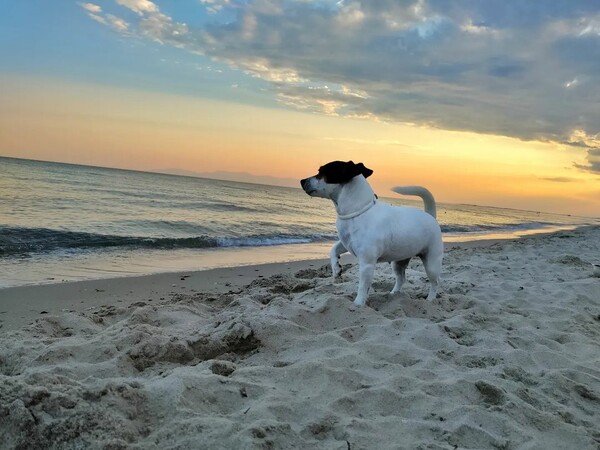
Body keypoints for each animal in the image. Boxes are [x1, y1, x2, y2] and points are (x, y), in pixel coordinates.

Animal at [302, 161, 442, 306]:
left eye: (323, 172)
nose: (302, 181)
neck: (357, 212)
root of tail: (430, 216)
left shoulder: (367, 263)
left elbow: (363, 286)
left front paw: (358, 304)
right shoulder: (346, 243)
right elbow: (333, 249)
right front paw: (336, 270)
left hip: (431, 262)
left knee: (436, 282)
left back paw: (430, 300)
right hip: (398, 262)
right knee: (401, 278)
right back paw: (393, 295)